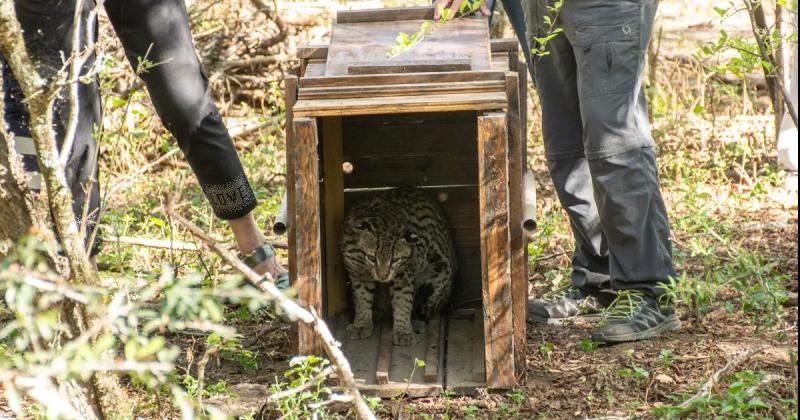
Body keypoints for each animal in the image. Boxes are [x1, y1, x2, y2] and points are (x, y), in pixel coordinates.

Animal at [340, 189, 460, 344]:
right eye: (372, 258)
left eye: (395, 260)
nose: (383, 276)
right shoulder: (356, 272)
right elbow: (362, 297)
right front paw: (361, 323)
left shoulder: (403, 274)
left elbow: (403, 299)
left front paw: (403, 331)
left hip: (441, 271)